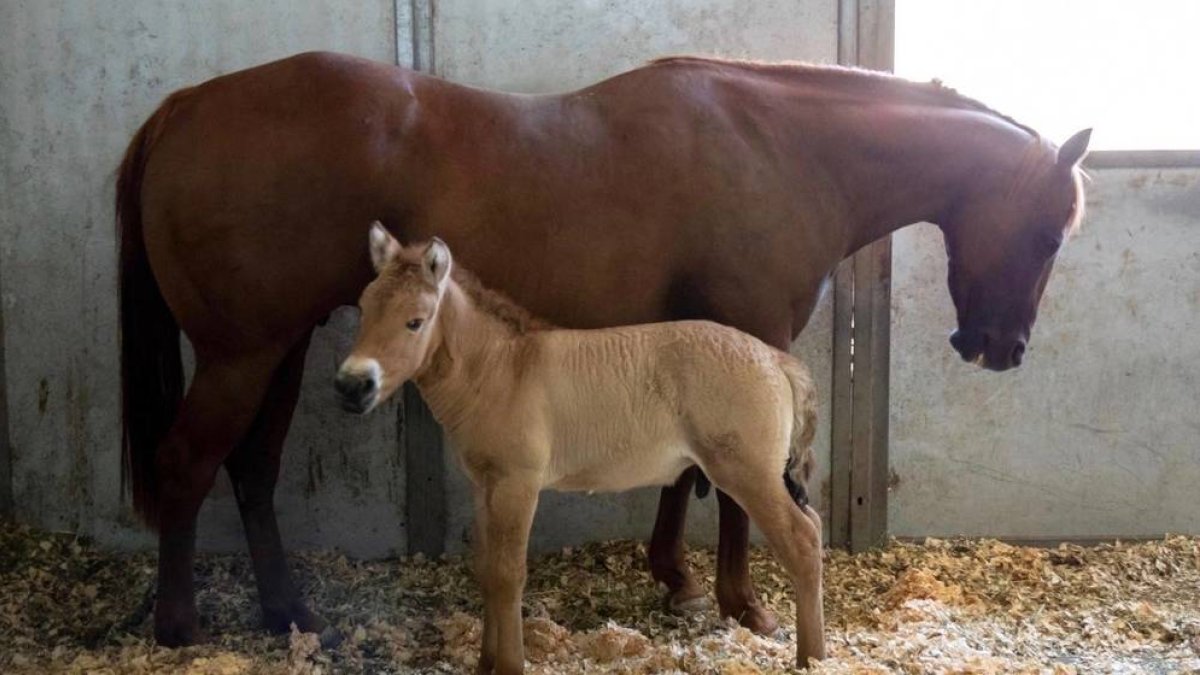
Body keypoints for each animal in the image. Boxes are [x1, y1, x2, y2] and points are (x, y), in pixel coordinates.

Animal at [336, 225, 825, 671]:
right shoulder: (484, 486)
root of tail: (776, 359)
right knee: (814, 527)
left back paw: (812, 657)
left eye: (415, 321)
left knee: (802, 541)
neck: (501, 369)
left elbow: (509, 575)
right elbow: (487, 570)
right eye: (363, 310)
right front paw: (485, 663)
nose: (352, 386)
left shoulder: (517, 484)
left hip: (747, 473)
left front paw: (510, 664)